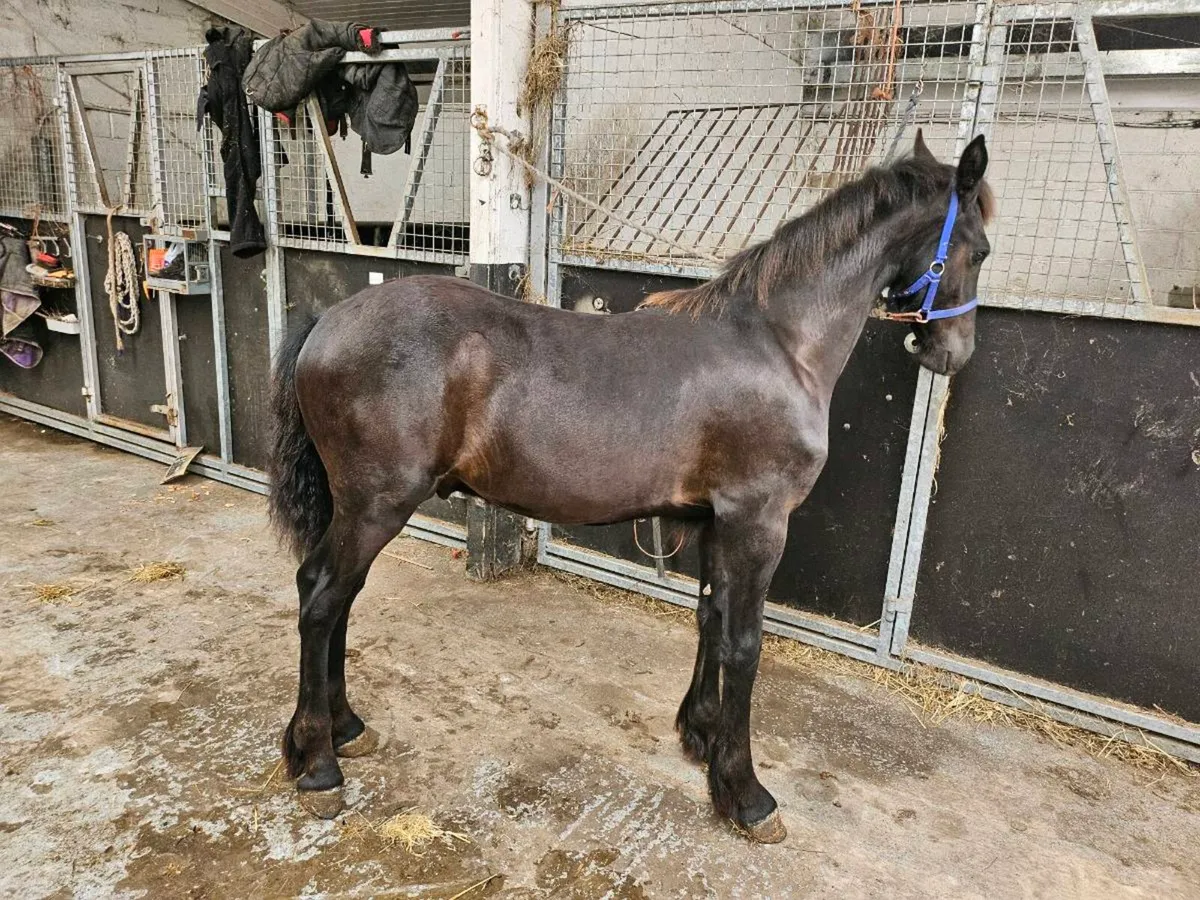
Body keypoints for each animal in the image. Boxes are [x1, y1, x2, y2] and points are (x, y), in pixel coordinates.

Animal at [266, 130, 993, 842]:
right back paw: (318, 762)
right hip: (376, 506)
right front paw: (744, 792)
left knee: (340, 598)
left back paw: (343, 727)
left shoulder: (716, 521)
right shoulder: (758, 522)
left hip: (358, 508)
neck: (776, 344)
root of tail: (328, 322)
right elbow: (745, 644)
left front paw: (700, 735)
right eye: (980, 249)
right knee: (322, 597)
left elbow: (710, 618)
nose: (952, 353)